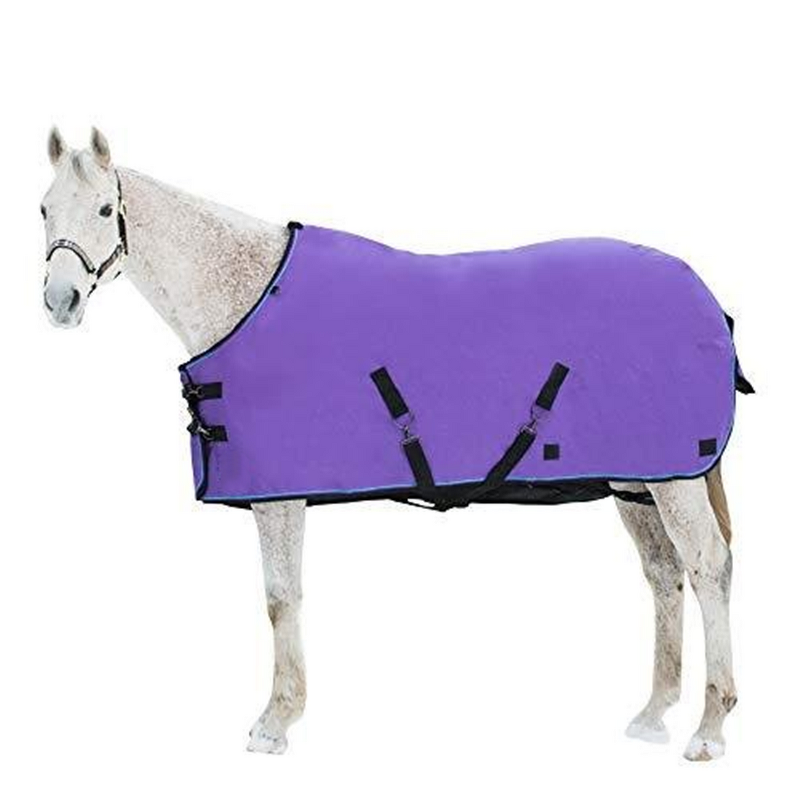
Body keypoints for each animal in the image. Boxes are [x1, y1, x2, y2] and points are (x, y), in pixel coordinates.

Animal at [40, 127, 741, 761]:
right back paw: (653, 713)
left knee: (708, 566)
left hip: (675, 480)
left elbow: (280, 598)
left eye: (103, 210)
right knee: (663, 574)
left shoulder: (279, 497)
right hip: (637, 479)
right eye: (44, 208)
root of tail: (707, 297)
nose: (60, 301)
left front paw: (276, 720)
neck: (245, 294)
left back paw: (710, 726)